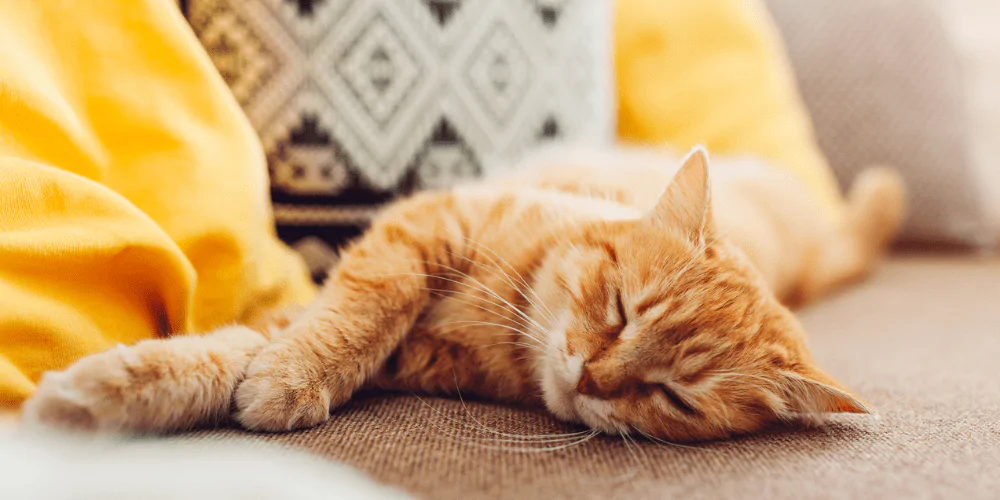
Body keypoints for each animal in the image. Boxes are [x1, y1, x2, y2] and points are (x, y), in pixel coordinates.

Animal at [21, 146, 908, 442]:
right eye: (620, 309)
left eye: (672, 397)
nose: (592, 377)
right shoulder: (421, 229)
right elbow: (352, 311)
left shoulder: (406, 354)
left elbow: (256, 348)